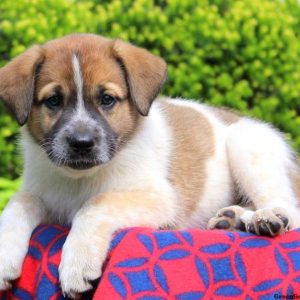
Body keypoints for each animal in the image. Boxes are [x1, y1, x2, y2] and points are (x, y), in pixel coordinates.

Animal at [0, 33, 300, 298]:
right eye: (53, 100)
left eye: (107, 99)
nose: (81, 143)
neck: (80, 179)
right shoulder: (44, 194)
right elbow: (20, 201)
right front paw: (5, 254)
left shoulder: (161, 198)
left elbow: (96, 204)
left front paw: (77, 262)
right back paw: (232, 218)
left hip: (247, 146)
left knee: (289, 210)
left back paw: (263, 219)